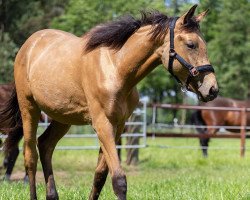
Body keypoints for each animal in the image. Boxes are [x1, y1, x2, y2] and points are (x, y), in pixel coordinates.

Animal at [0, 5, 218, 200]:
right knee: (30, 156)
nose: (212, 89)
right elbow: (119, 180)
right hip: (29, 109)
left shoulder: (118, 126)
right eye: (191, 44)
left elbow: (100, 175)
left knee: (45, 145)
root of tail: (29, 44)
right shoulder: (102, 124)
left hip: (62, 117)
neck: (116, 68)